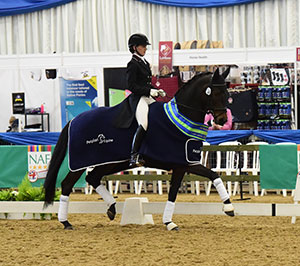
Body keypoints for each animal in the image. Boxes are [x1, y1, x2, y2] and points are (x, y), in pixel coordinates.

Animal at [43, 68, 234, 231]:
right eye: (215, 93)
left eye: (226, 93)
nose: (223, 120)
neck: (182, 116)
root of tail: (73, 121)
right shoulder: (183, 163)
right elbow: (193, 184)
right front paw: (228, 207)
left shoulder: (185, 163)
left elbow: (206, 178)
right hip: (82, 163)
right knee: (67, 184)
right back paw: (66, 222)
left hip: (111, 162)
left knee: (92, 177)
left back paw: (111, 208)